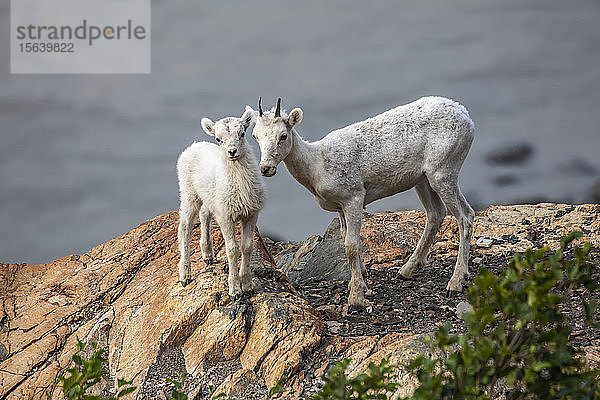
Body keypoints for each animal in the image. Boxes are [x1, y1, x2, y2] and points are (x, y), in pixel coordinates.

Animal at [176, 108, 264, 298]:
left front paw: (247, 285)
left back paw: (207, 255)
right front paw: (235, 290)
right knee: (185, 228)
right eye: (218, 138)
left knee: (204, 215)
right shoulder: (225, 217)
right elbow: (232, 250)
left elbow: (247, 247)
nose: (232, 151)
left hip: (208, 199)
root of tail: (194, 145)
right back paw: (185, 275)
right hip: (188, 195)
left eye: (242, 133)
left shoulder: (251, 214)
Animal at [248, 97, 474, 310]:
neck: (317, 166)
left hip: (443, 173)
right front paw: (361, 280)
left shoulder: (354, 199)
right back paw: (406, 270)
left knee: (465, 217)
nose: (266, 168)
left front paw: (356, 297)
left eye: (283, 136)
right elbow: (344, 239)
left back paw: (455, 283)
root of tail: (466, 117)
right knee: (436, 214)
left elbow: (351, 245)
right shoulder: (340, 208)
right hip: (423, 180)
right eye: (255, 136)